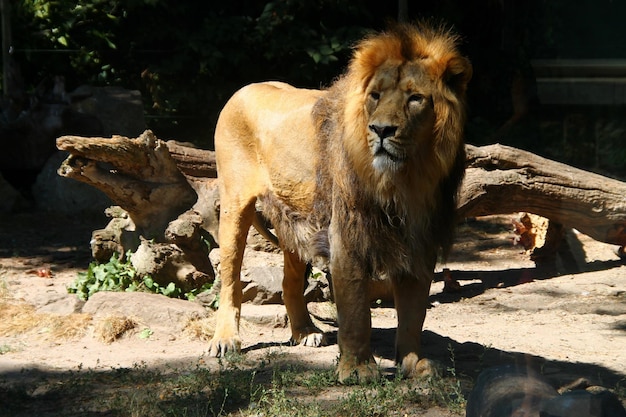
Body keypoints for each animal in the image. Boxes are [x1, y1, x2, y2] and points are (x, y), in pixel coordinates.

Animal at [207, 21, 470, 382]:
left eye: (416, 98)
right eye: (375, 96)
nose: (381, 129)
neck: (407, 180)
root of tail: (243, 89)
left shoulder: (421, 237)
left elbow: (414, 311)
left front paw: (414, 363)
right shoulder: (347, 232)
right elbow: (357, 309)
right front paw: (358, 369)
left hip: (295, 219)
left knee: (290, 281)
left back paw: (305, 332)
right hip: (235, 203)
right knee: (230, 276)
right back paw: (225, 340)